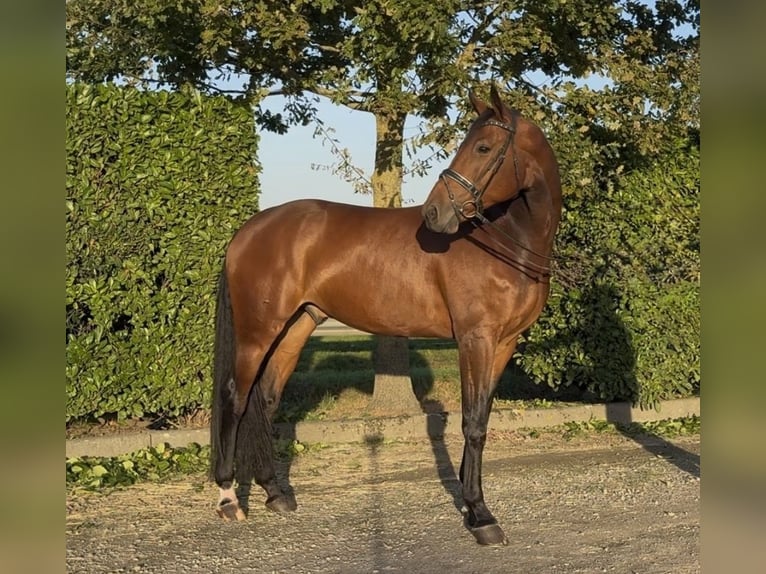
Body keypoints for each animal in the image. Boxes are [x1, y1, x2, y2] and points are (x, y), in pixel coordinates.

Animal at [210, 85, 562, 546]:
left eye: (483, 147)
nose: (434, 214)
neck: (506, 243)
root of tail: (248, 230)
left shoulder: (503, 343)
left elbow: (481, 418)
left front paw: (470, 504)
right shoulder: (476, 339)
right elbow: (471, 423)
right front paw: (482, 516)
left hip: (296, 326)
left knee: (264, 400)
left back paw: (276, 493)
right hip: (257, 331)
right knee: (235, 398)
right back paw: (228, 498)